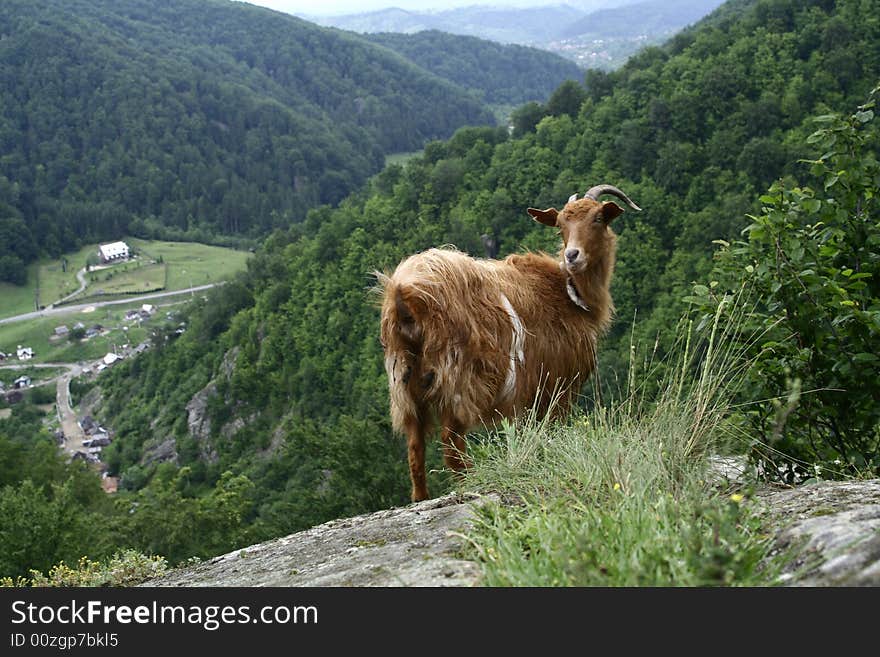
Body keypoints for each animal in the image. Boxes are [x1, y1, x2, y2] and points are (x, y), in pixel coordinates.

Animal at [376, 182, 640, 500]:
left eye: (598, 218)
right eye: (561, 225)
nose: (572, 255)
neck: (567, 294)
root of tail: (404, 292)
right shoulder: (555, 388)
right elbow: (549, 432)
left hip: (405, 385)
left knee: (415, 447)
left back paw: (422, 498)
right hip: (456, 380)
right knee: (451, 444)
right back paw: (471, 484)